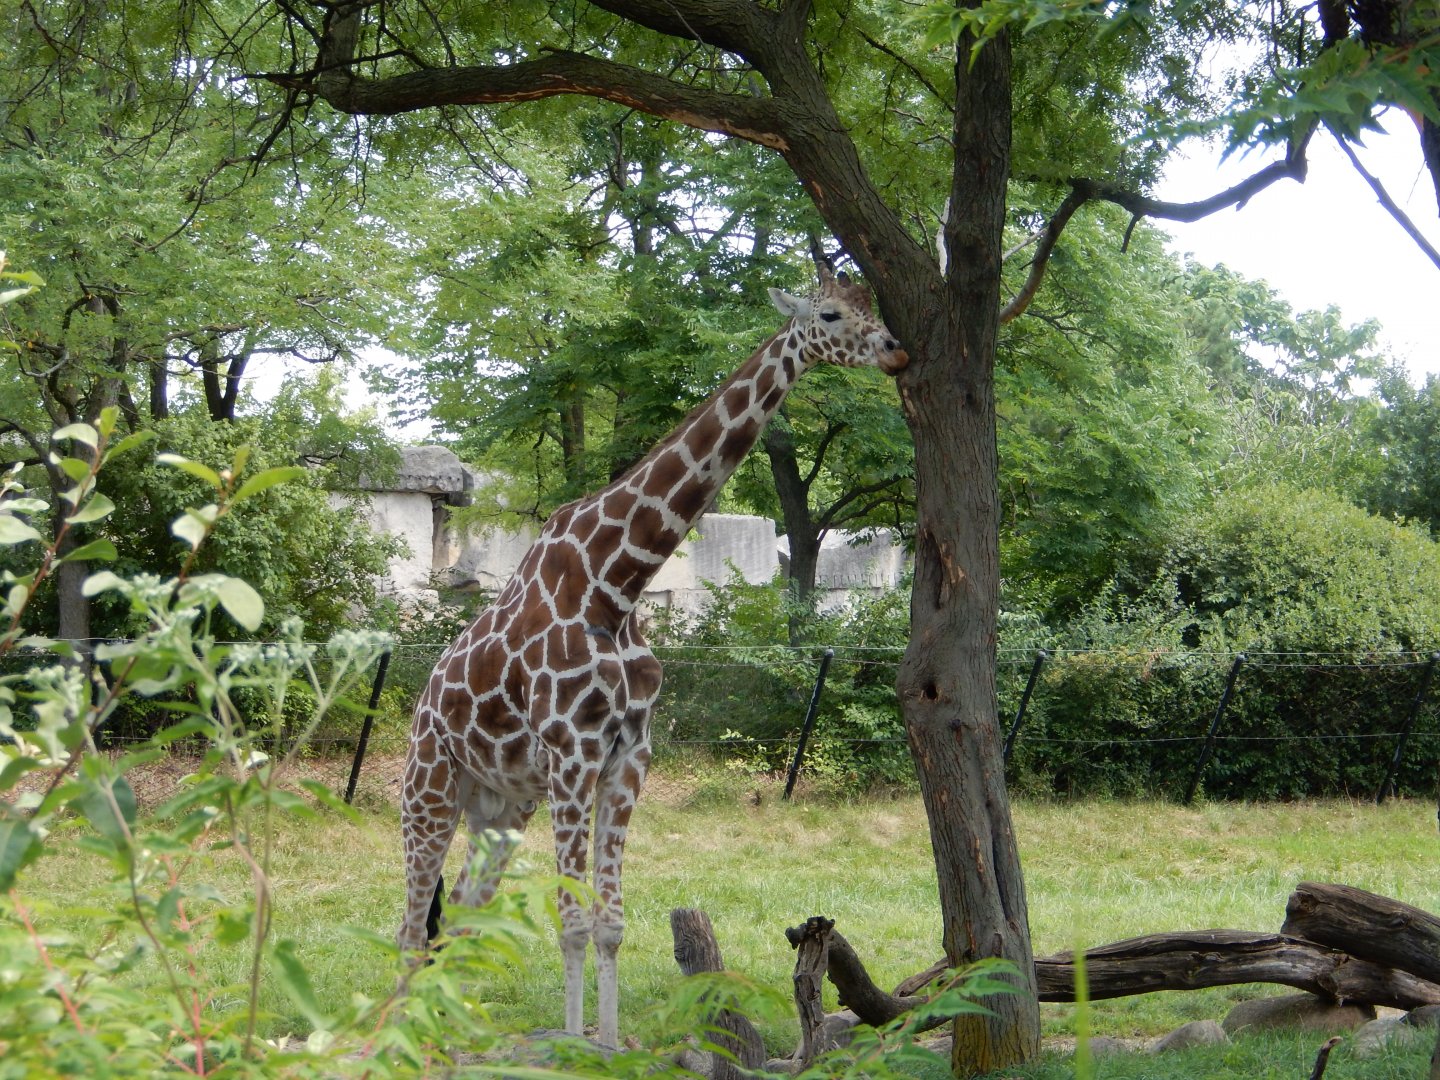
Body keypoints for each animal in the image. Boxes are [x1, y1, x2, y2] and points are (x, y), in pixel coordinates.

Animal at [397, 268, 908, 1047]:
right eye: (828, 314)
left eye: (871, 305)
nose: (894, 352)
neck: (617, 583)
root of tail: (421, 705)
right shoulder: (572, 754)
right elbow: (573, 922)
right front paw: (574, 1043)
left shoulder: (628, 755)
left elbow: (610, 923)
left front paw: (606, 1045)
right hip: (428, 790)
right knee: (409, 924)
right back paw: (393, 1037)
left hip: (500, 808)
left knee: (454, 914)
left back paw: (442, 1033)